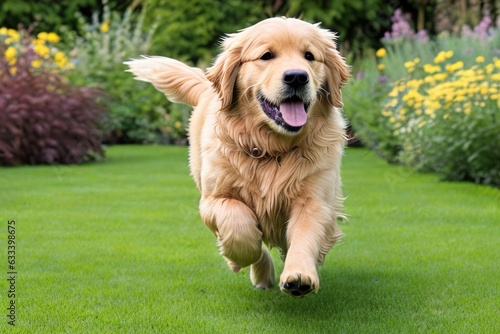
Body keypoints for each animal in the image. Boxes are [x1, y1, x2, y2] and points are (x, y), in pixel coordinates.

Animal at [125, 17, 350, 296]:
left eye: (309, 56)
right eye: (266, 55)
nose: (297, 77)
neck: (271, 149)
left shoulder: (316, 200)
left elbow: (305, 234)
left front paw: (300, 276)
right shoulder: (212, 199)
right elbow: (240, 227)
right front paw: (239, 257)